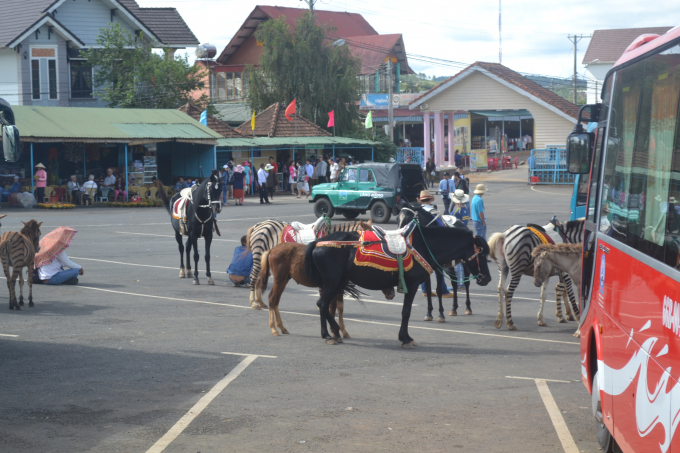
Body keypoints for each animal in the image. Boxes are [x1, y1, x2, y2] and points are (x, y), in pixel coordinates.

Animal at [306, 219, 492, 346]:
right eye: (482, 253)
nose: (487, 278)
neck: (425, 245)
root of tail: (318, 242)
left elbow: (407, 311)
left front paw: (405, 336)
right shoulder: (412, 285)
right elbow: (406, 312)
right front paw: (405, 338)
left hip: (337, 282)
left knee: (324, 305)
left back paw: (334, 332)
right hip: (332, 282)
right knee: (322, 304)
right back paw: (328, 334)